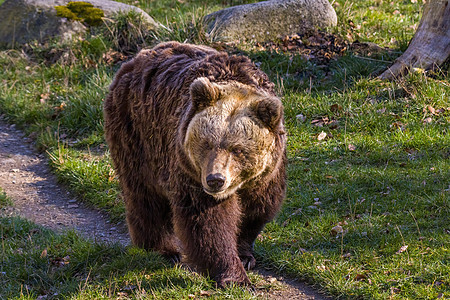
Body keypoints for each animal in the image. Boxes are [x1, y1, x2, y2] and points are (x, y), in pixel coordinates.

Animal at [104, 41, 286, 286]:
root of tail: (134, 59)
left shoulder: (268, 174)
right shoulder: (189, 171)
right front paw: (234, 277)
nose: (215, 180)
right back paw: (162, 250)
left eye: (237, 149)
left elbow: (257, 210)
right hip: (136, 134)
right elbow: (207, 223)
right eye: (207, 144)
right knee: (144, 196)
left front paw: (245, 255)